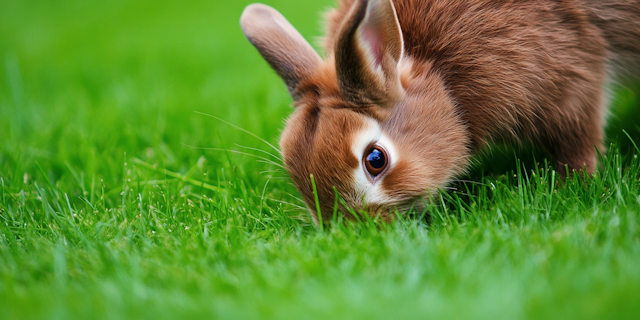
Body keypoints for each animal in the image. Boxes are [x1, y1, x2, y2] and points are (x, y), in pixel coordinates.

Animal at [240, 0, 640, 224]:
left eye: (375, 160)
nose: (353, 230)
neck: (442, 78)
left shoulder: (572, 75)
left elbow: (580, 136)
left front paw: (575, 186)